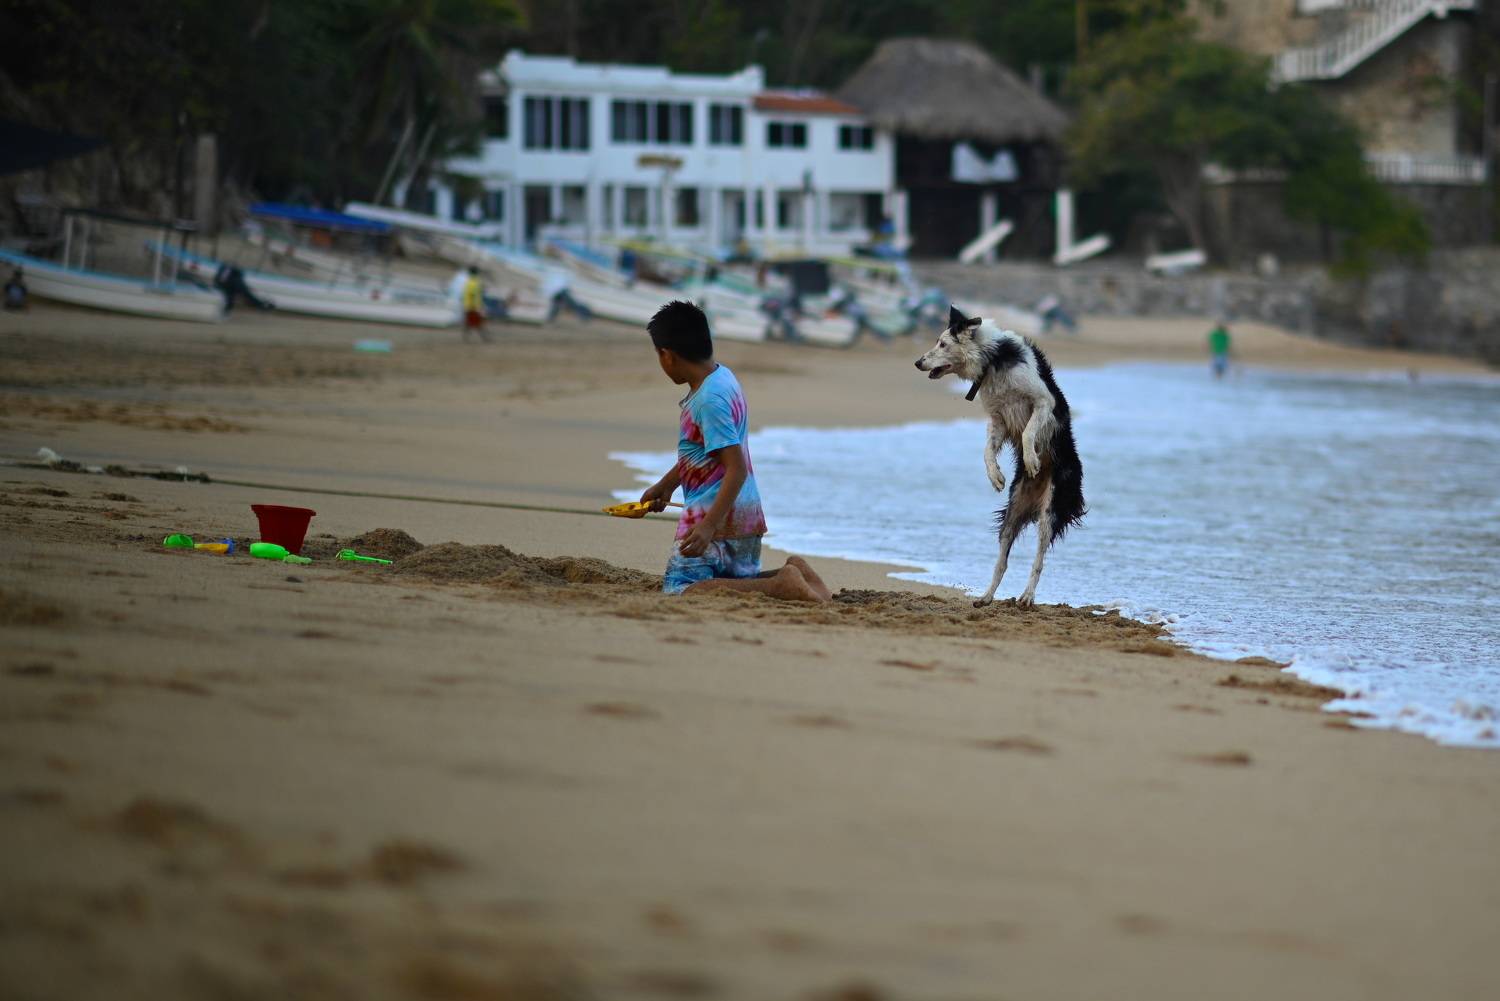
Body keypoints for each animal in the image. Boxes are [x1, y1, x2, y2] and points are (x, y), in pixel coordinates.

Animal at [915, 306, 1085, 607]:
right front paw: (995, 476)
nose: (917, 362)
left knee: (1038, 560)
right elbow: (986, 451)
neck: (991, 361)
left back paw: (1027, 596)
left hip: (1050, 510)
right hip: (1013, 512)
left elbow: (1028, 433)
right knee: (1002, 560)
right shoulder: (998, 420)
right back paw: (986, 596)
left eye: (943, 344)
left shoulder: (1043, 402)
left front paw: (1031, 460)